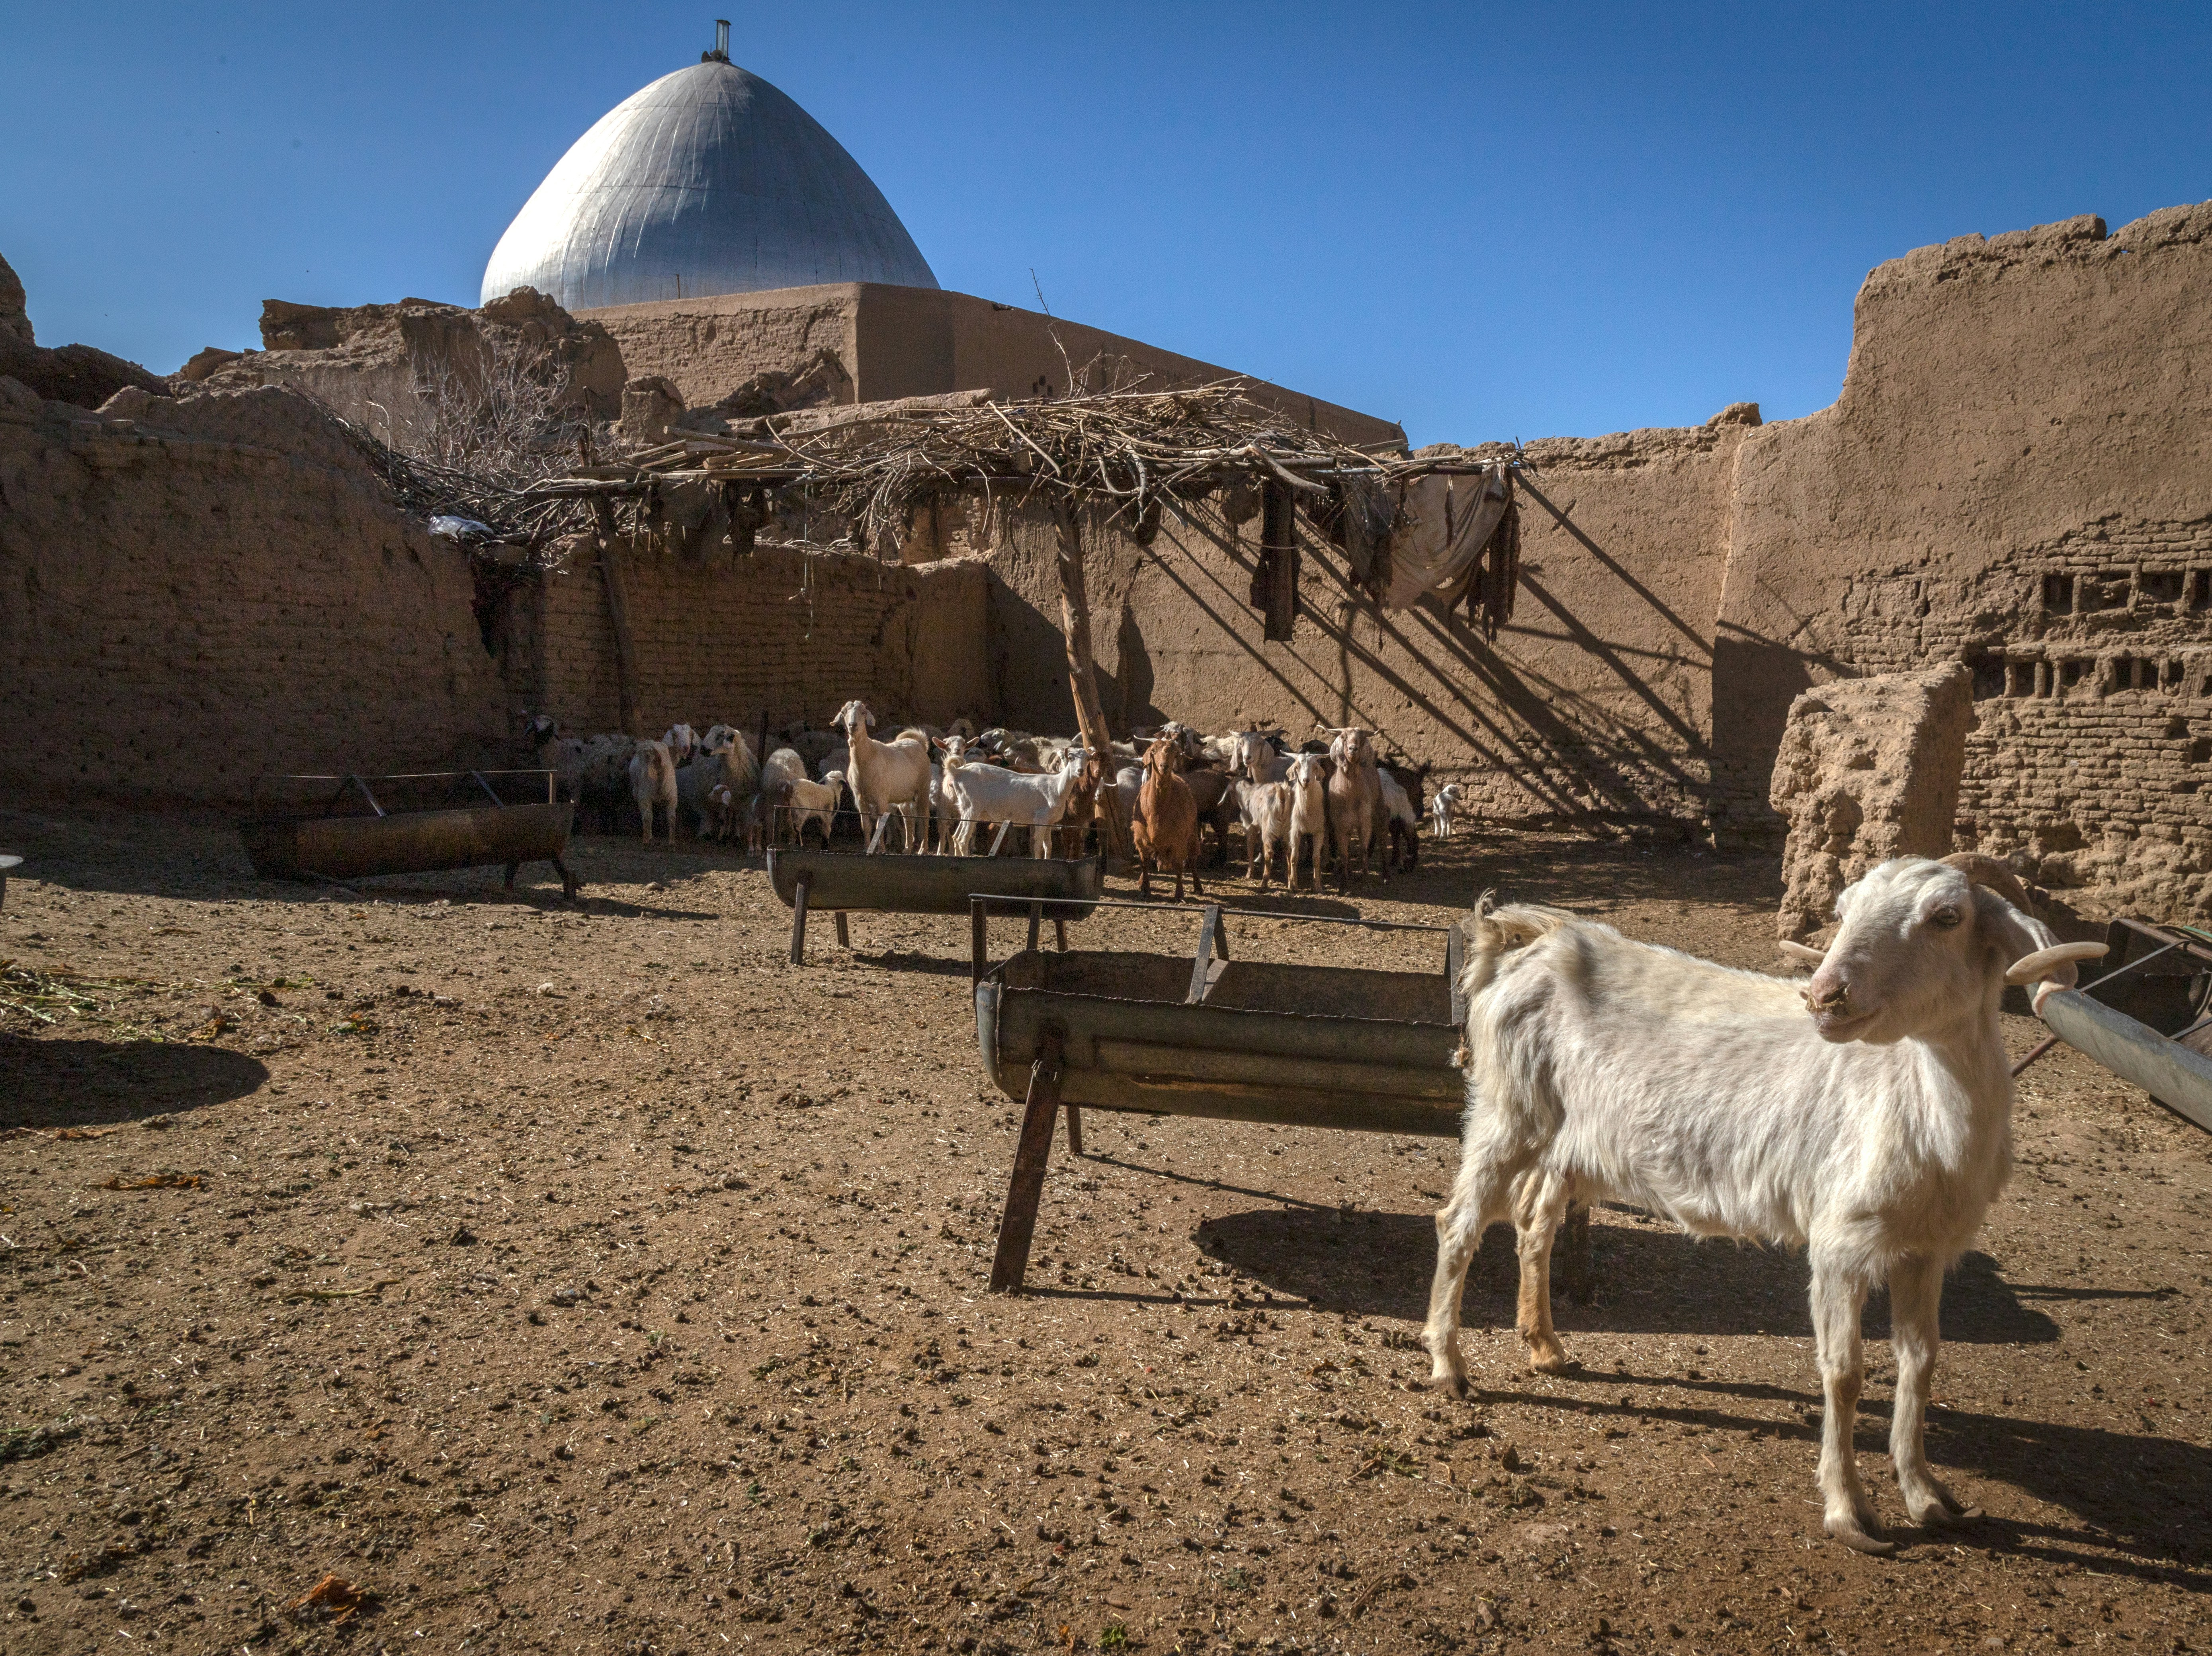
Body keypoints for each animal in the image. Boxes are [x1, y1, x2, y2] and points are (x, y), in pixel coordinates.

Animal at [835, 700, 932, 852]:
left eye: (863, 712)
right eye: (844, 712)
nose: (853, 725)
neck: (867, 756)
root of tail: (918, 743)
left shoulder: (881, 798)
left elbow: (880, 825)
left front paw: (881, 850)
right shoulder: (860, 800)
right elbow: (866, 827)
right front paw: (867, 848)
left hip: (924, 787)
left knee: (924, 816)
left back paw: (923, 849)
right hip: (904, 794)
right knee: (908, 819)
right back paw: (907, 848)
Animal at [1133, 736, 1202, 900]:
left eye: (1174, 753)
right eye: (1153, 751)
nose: (1164, 766)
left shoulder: (1179, 840)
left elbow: (1179, 865)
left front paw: (1179, 894)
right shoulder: (1141, 839)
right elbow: (1144, 863)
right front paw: (1144, 889)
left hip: (1192, 833)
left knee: (1193, 858)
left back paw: (1198, 887)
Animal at [1422, 856, 2106, 1556]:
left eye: (1948, 917)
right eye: (1845, 910)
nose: (1826, 996)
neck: (1919, 1100)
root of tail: (1528, 941)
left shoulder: (1924, 1251)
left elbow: (1921, 1363)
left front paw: (1926, 1496)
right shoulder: (1841, 1245)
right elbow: (1845, 1373)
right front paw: (1849, 1511)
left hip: (1565, 1142)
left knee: (1534, 1225)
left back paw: (1546, 1347)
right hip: (1507, 1112)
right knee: (1459, 1224)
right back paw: (1450, 1366)